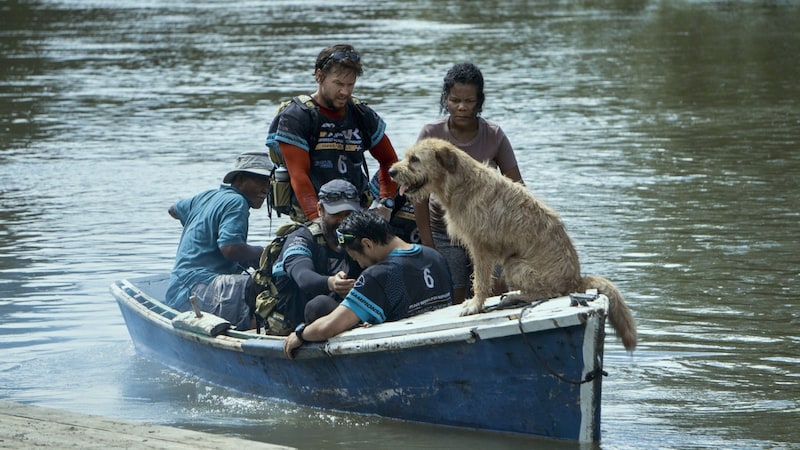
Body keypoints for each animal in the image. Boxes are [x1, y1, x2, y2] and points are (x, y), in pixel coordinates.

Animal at [390, 137, 636, 352]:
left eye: (415, 159)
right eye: (407, 156)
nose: (391, 172)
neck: (461, 184)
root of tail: (577, 279)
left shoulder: (480, 246)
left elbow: (480, 281)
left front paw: (475, 305)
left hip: (514, 265)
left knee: (550, 292)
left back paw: (516, 296)